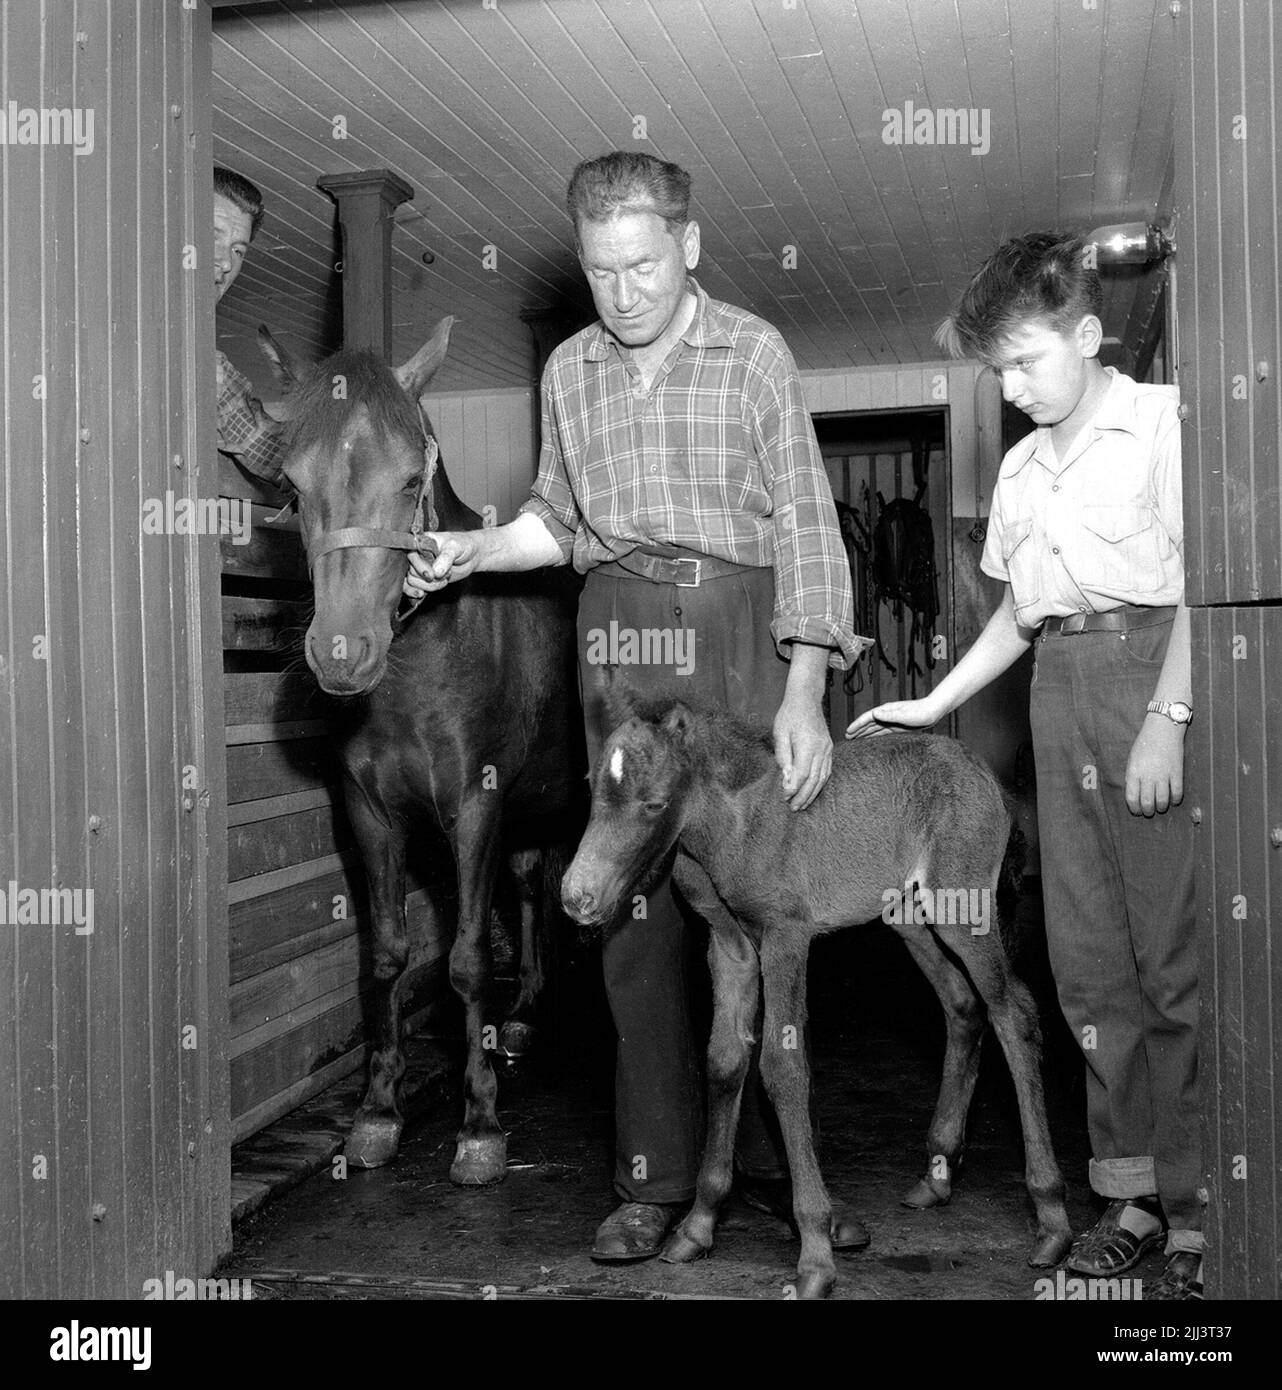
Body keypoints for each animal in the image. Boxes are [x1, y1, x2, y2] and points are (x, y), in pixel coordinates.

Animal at [271, 318, 589, 1184]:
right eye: (294, 486)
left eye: (411, 477)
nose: (343, 653)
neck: (423, 665)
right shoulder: (371, 816)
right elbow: (386, 956)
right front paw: (379, 1111)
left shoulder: (475, 809)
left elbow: (467, 960)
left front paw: (479, 1125)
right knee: (532, 886)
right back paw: (526, 1014)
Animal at [558, 678, 1067, 1295]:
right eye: (593, 791)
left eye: (654, 803)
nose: (576, 897)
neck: (732, 825)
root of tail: (986, 776)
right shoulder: (729, 946)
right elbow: (724, 1062)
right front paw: (697, 1227)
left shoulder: (785, 936)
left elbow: (782, 1068)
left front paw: (816, 1255)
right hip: (907, 915)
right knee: (963, 1005)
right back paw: (939, 1173)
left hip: (961, 909)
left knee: (1013, 1012)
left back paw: (1051, 1217)